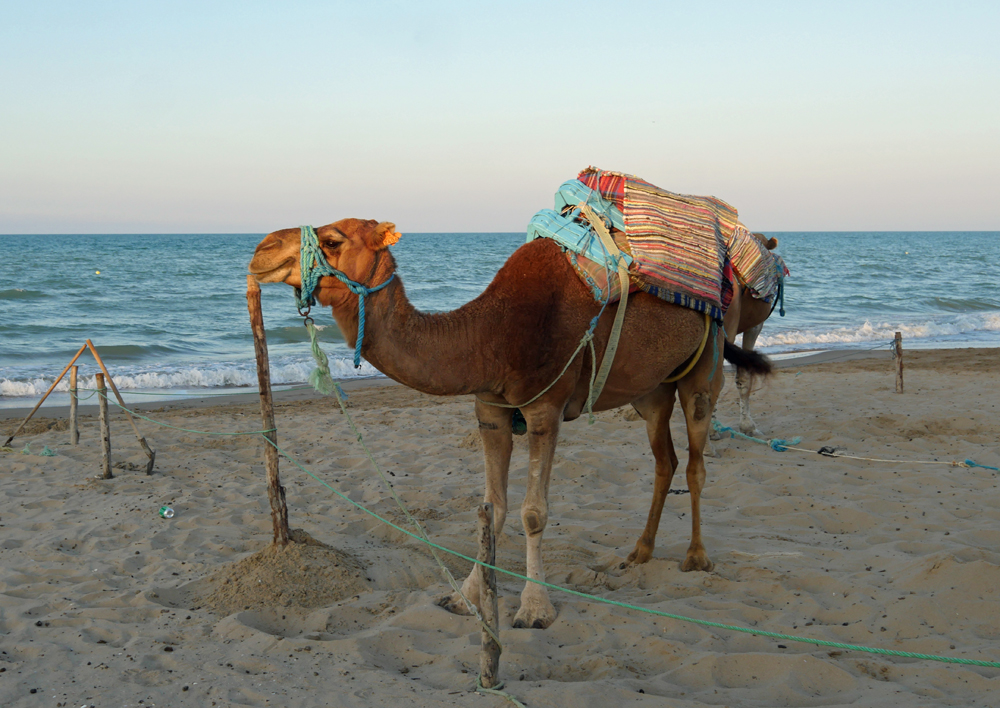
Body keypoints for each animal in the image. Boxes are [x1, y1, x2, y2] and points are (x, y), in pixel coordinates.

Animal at [249, 218, 770, 629]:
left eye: (333, 239)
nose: (260, 251)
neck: (492, 334)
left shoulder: (545, 409)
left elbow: (533, 513)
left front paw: (535, 609)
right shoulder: (491, 411)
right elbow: (493, 508)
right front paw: (464, 597)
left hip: (703, 370)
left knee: (696, 460)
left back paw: (696, 557)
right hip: (652, 391)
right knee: (665, 460)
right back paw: (639, 553)